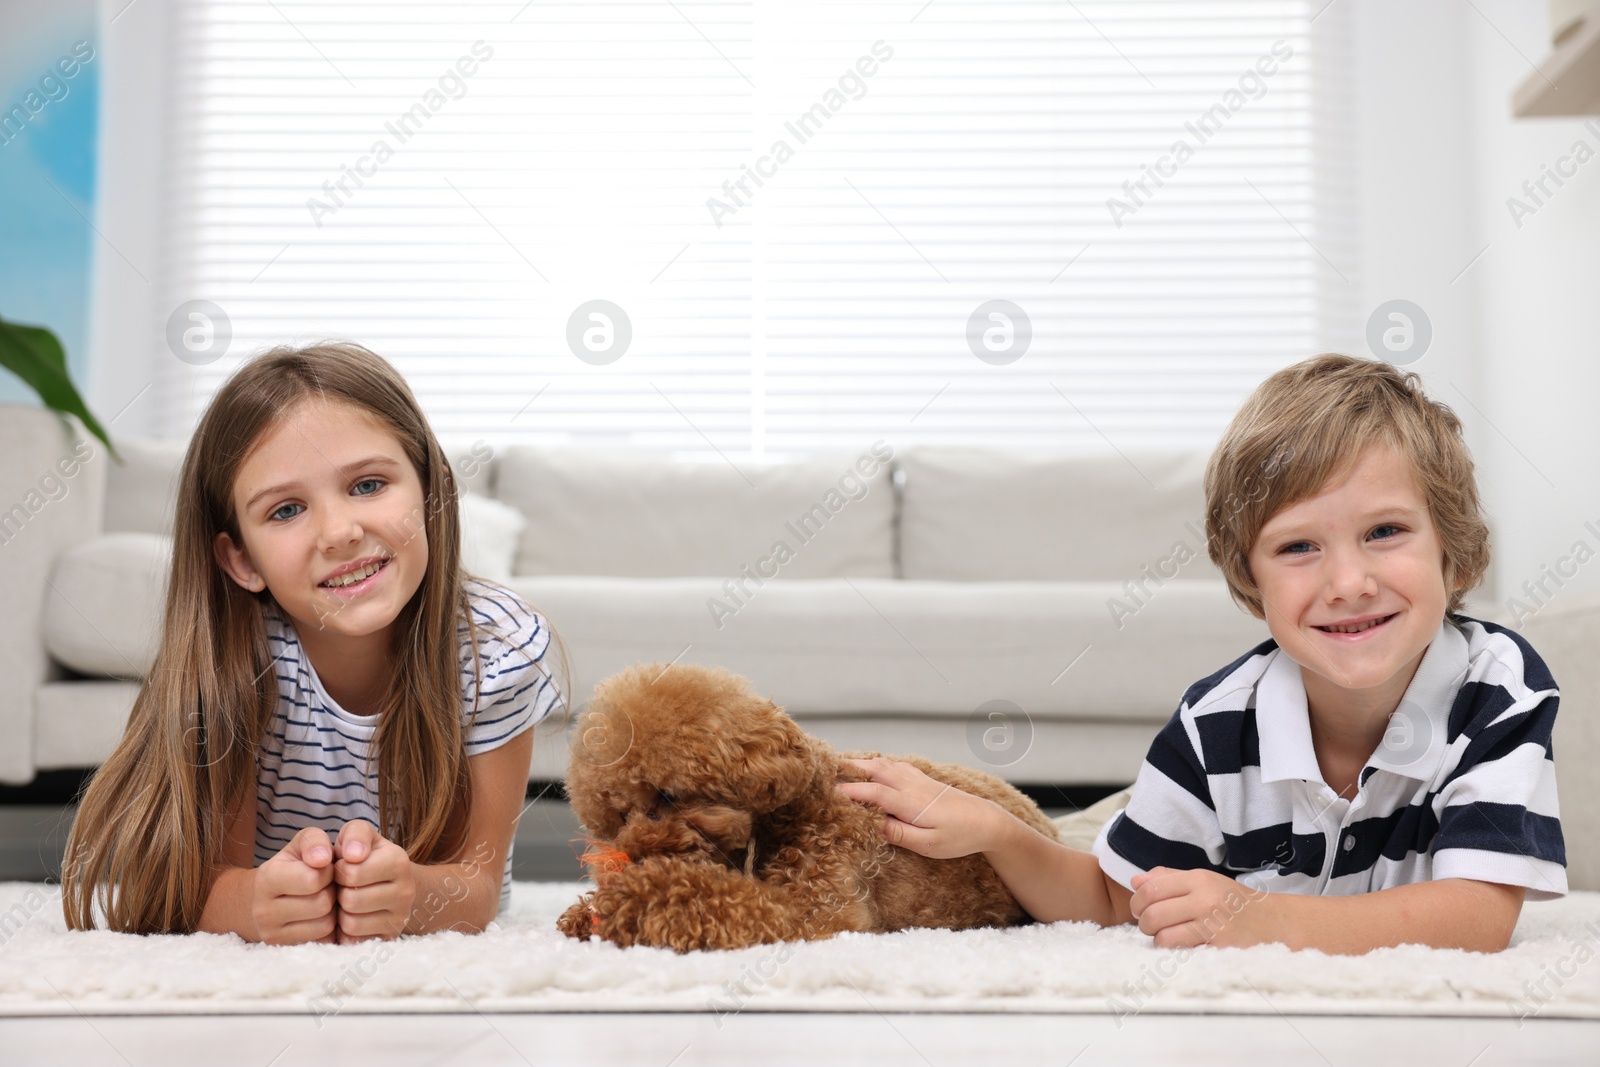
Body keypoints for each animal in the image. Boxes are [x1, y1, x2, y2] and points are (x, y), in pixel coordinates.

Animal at [556, 662, 1056, 953]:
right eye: (622, 815)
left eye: (666, 795)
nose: (634, 855)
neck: (798, 806)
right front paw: (583, 913)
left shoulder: (820, 909)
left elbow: (715, 899)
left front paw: (627, 901)